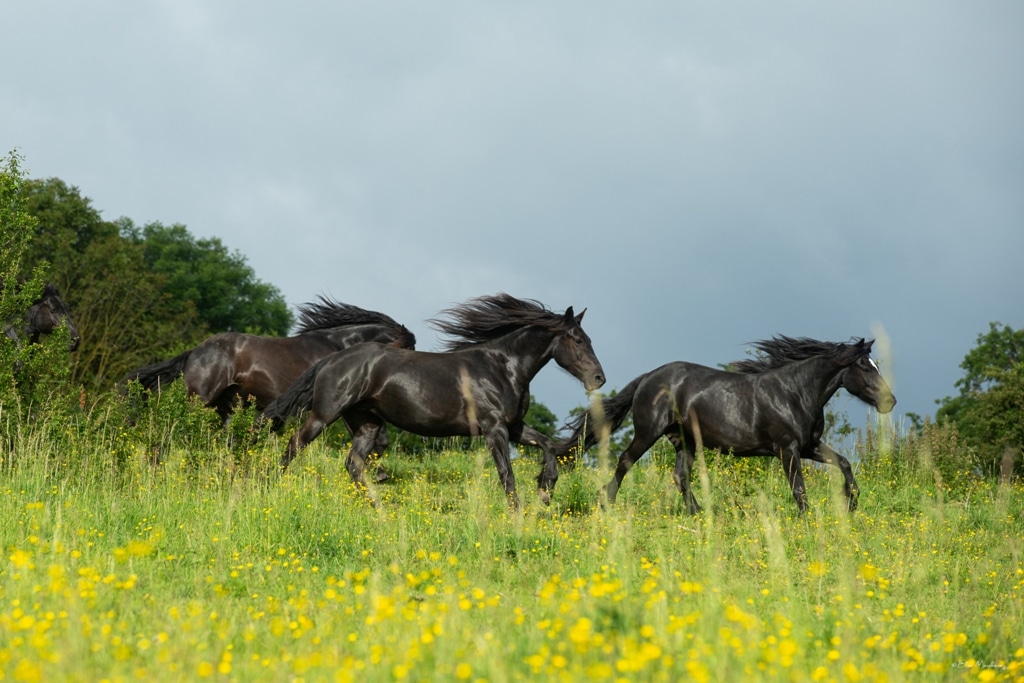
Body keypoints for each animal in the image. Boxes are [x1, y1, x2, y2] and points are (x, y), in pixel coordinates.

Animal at [260, 294, 606, 507]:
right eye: (578, 340)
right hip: (324, 414)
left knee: (353, 464)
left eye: (589, 339)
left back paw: (378, 509)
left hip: (365, 422)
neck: (501, 367)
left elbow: (548, 445)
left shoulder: (514, 426)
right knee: (294, 445)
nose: (599, 379)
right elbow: (506, 473)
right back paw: (266, 487)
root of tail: (331, 359)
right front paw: (517, 514)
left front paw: (546, 488)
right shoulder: (494, 428)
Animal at [561, 335, 897, 511]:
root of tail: (648, 377)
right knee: (625, 461)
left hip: (685, 441)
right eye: (865, 367)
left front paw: (852, 502)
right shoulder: (788, 449)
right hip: (648, 433)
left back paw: (698, 513)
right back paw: (606, 502)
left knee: (680, 476)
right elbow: (799, 489)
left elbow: (843, 463)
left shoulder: (809, 446)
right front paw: (807, 518)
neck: (794, 393)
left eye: (876, 365)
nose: (890, 401)